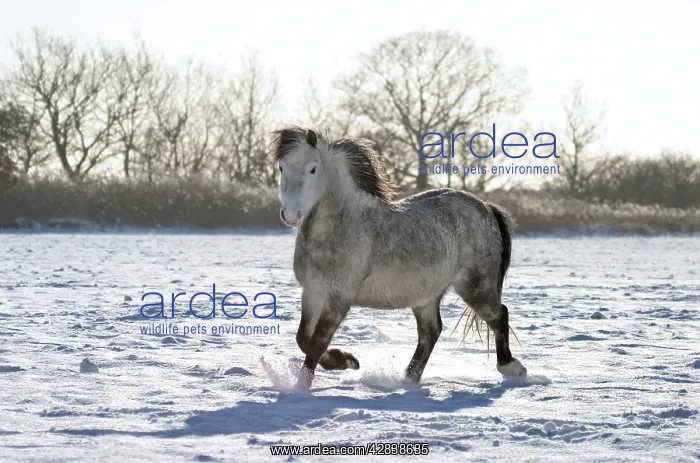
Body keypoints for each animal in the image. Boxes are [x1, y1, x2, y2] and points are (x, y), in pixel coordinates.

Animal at [273, 126, 527, 389]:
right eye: (281, 167)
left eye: (313, 169)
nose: (291, 215)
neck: (340, 226)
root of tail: (486, 208)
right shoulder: (313, 291)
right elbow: (303, 338)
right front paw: (346, 361)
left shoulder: (338, 297)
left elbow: (316, 343)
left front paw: (306, 385)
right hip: (426, 296)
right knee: (431, 332)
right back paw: (408, 379)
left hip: (475, 286)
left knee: (499, 315)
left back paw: (511, 367)